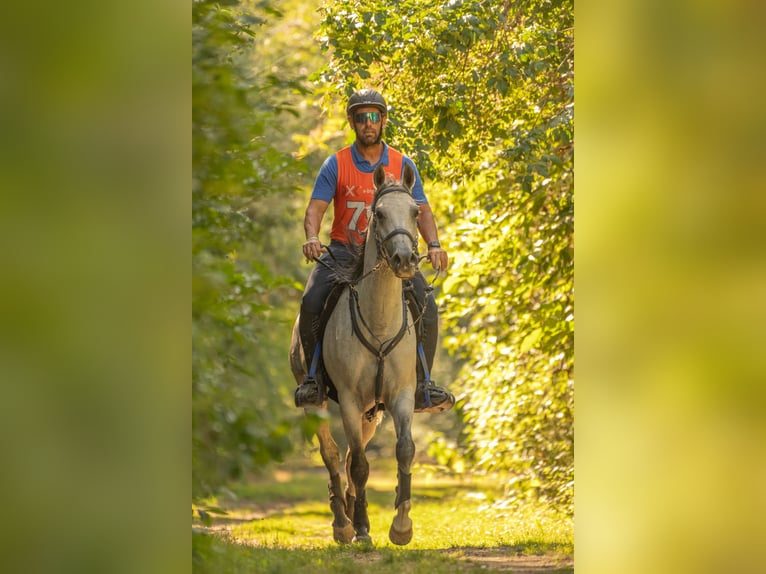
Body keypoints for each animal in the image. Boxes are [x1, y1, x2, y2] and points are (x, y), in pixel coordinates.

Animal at [289, 162, 422, 545]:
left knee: (349, 454)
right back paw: (342, 522)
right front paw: (362, 528)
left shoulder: (402, 394)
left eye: (415, 211)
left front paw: (401, 526)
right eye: (379, 214)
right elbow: (360, 465)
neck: (379, 319)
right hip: (318, 402)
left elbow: (404, 450)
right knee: (334, 455)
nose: (405, 259)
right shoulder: (348, 399)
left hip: (370, 414)